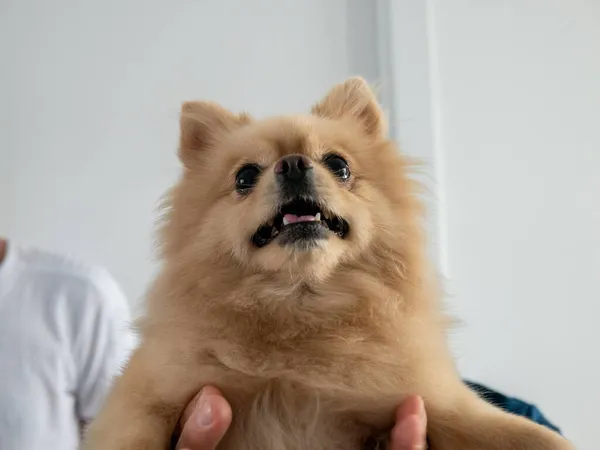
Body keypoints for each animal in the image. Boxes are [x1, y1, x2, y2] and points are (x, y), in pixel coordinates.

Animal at [82, 79, 576, 448]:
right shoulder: (145, 399)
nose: (294, 164)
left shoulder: (437, 404)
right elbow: (132, 435)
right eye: (245, 176)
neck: (301, 305)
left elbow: (525, 434)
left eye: (338, 164)